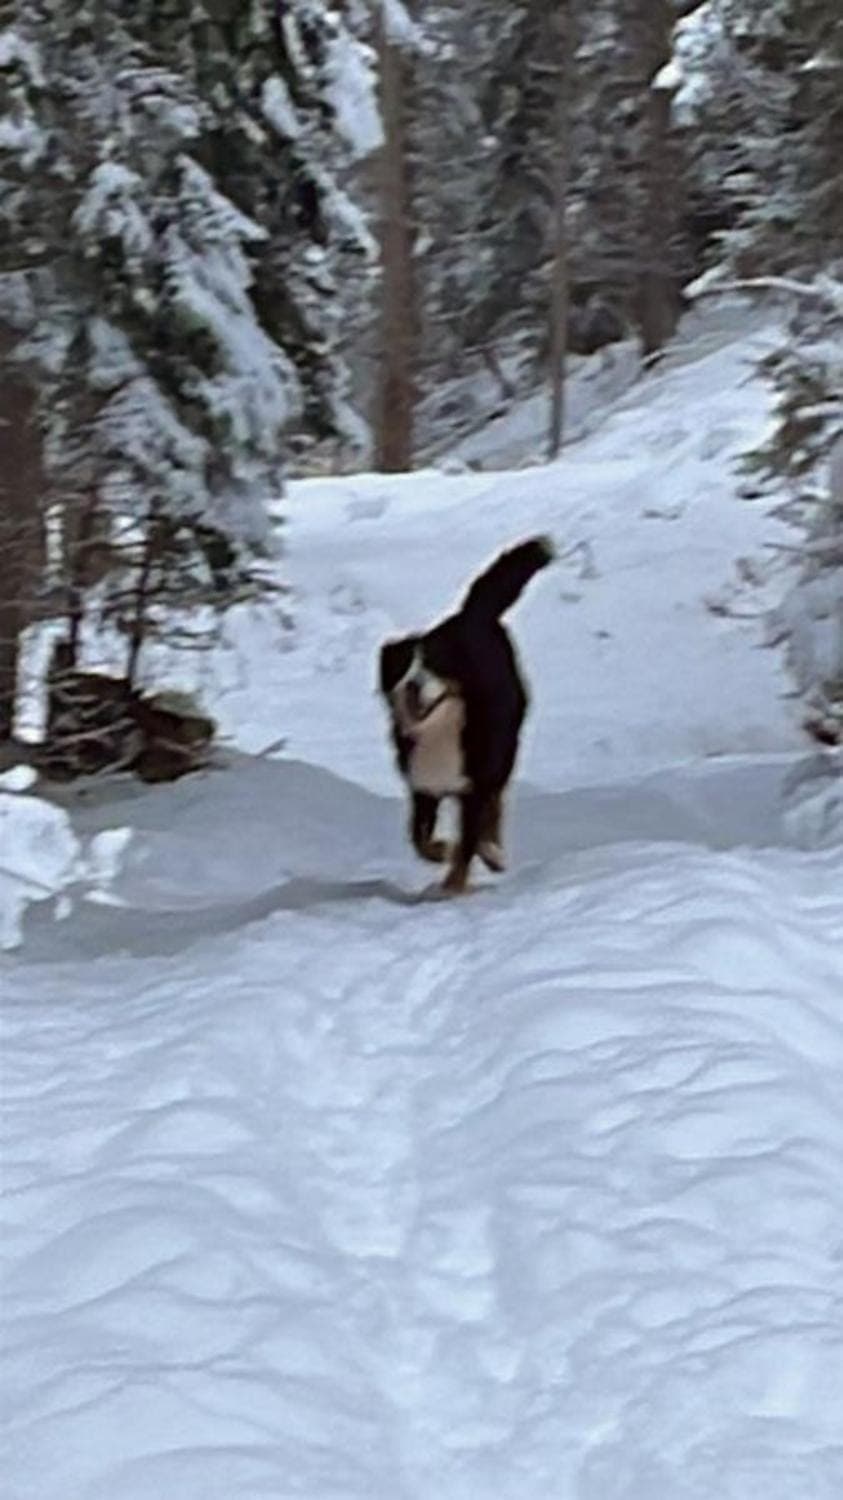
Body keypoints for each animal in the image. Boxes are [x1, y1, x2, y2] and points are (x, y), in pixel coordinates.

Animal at [379, 535, 553, 893]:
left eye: (434, 665)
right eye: (404, 667)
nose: (413, 686)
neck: (440, 732)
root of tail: (471, 615)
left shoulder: (475, 779)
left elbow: (469, 839)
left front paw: (453, 886)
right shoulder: (423, 784)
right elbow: (418, 836)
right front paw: (440, 850)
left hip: (504, 749)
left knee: (495, 804)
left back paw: (494, 851)